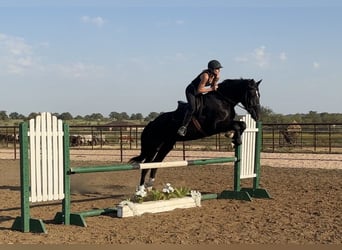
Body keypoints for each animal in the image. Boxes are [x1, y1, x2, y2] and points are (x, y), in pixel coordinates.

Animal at [130, 78, 262, 193]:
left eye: (259, 94)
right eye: (252, 94)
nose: (257, 115)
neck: (223, 101)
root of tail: (151, 123)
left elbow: (242, 124)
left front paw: (233, 139)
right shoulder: (214, 127)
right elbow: (237, 125)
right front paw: (235, 140)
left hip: (167, 145)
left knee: (156, 163)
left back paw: (150, 185)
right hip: (153, 146)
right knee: (146, 164)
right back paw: (141, 189)